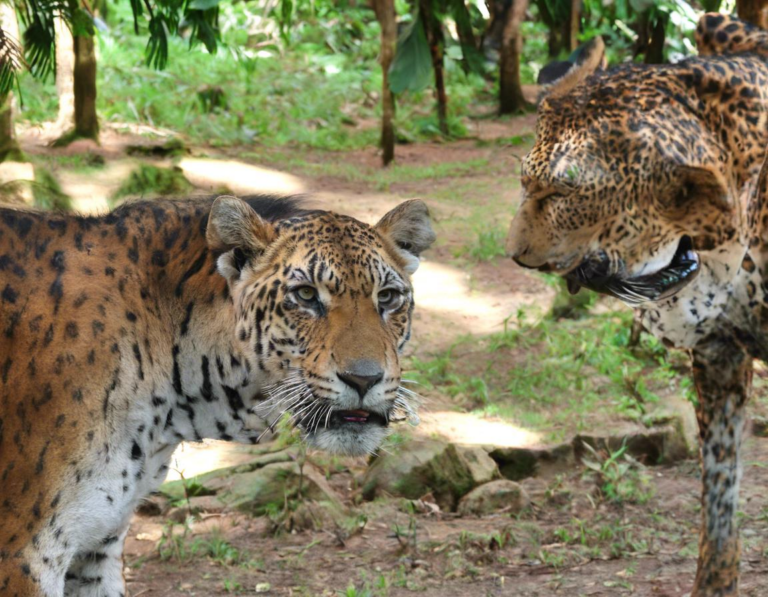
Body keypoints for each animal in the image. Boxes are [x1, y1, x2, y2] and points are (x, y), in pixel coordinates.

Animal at [508, 14, 768, 596]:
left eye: (564, 194)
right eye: (524, 184)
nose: (517, 257)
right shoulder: (719, 357)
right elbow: (719, 494)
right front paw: (714, 584)